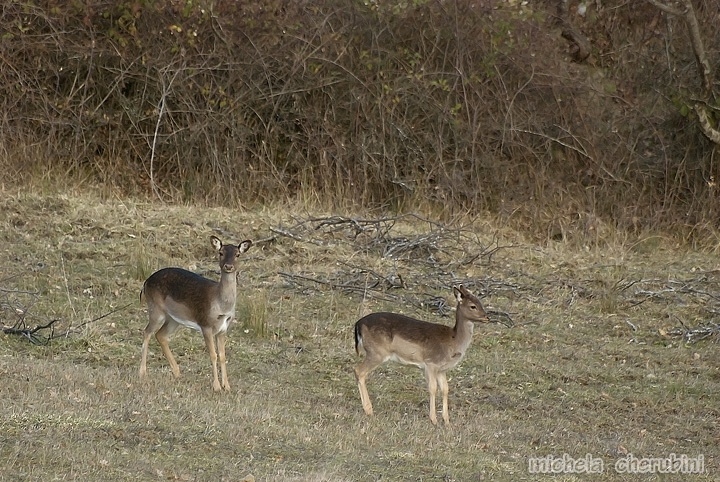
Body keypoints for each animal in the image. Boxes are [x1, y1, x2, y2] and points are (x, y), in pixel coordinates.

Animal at [139, 236, 252, 392]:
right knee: (147, 332)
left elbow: (223, 356)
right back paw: (142, 372)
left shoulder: (223, 329)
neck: (222, 306)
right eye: (221, 253)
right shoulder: (206, 325)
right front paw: (217, 387)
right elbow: (213, 355)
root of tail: (146, 282)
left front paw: (227, 386)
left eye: (238, 254)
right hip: (156, 309)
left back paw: (177, 372)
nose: (228, 266)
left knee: (160, 335)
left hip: (173, 319)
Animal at [352, 284, 490, 424]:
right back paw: (369, 410)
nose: (487, 317)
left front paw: (446, 421)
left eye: (480, 302)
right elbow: (432, 388)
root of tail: (358, 324)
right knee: (359, 370)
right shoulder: (430, 363)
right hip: (376, 352)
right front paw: (434, 419)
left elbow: (445, 389)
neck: (453, 341)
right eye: (472, 306)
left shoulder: (441, 369)